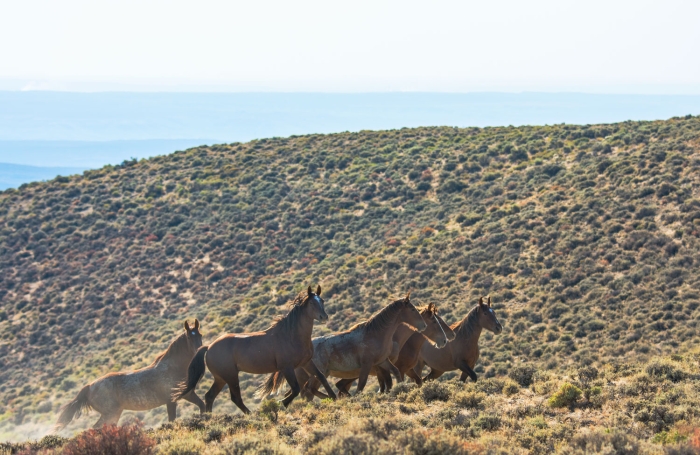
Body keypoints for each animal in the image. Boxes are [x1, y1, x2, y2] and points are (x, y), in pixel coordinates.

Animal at [56, 318, 204, 430]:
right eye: (189, 336)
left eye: (200, 335)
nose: (200, 350)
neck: (173, 367)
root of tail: (89, 387)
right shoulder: (171, 401)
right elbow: (172, 420)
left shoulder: (188, 394)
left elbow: (202, 405)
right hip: (111, 413)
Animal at [174, 286, 334, 416]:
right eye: (312, 303)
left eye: (322, 301)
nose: (324, 317)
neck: (291, 335)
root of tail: (209, 347)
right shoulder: (287, 368)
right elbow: (295, 388)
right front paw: (282, 403)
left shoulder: (306, 362)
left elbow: (321, 376)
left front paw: (334, 397)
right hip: (231, 376)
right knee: (235, 398)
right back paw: (250, 414)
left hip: (220, 378)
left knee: (209, 396)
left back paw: (209, 418)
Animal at [262, 292, 426, 402]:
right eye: (412, 310)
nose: (423, 325)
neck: (375, 334)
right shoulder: (367, 365)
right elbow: (362, 385)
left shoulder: (382, 361)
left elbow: (396, 373)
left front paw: (400, 390)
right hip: (318, 373)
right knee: (308, 391)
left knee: (308, 390)